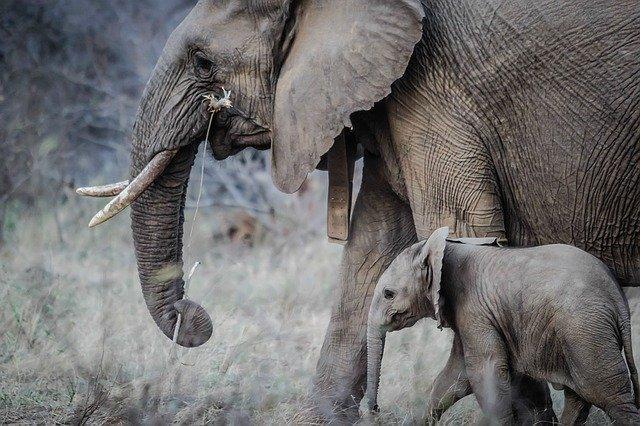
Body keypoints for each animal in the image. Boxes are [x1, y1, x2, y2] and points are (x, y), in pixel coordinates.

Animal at [364, 226, 640, 422]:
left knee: (609, 396)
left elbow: (485, 372)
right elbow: (454, 378)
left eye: (388, 294)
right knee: (579, 397)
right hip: (580, 333)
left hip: (584, 330)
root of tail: (617, 298)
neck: (445, 247)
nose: (374, 409)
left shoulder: (475, 309)